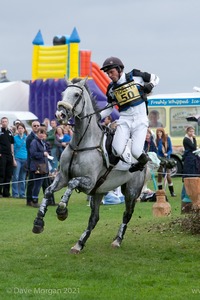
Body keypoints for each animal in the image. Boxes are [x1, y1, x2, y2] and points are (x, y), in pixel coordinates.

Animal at [32, 77, 146, 253]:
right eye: (63, 93)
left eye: (76, 94)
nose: (60, 114)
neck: (80, 144)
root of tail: (143, 151)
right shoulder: (62, 177)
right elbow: (49, 190)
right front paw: (38, 221)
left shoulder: (88, 181)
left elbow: (72, 183)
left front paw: (62, 210)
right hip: (99, 191)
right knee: (94, 218)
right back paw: (79, 244)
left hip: (131, 191)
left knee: (127, 214)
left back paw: (117, 240)